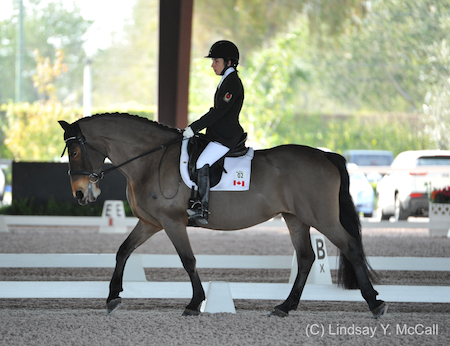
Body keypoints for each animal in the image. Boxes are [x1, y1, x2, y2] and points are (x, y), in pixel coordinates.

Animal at [58, 113, 384, 318]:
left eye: (74, 152)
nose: (80, 193)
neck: (150, 160)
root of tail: (327, 155)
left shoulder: (172, 222)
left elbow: (188, 261)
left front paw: (194, 304)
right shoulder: (150, 222)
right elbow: (123, 251)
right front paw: (113, 297)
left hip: (323, 218)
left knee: (351, 247)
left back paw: (375, 303)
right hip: (295, 219)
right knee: (306, 258)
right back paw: (284, 307)